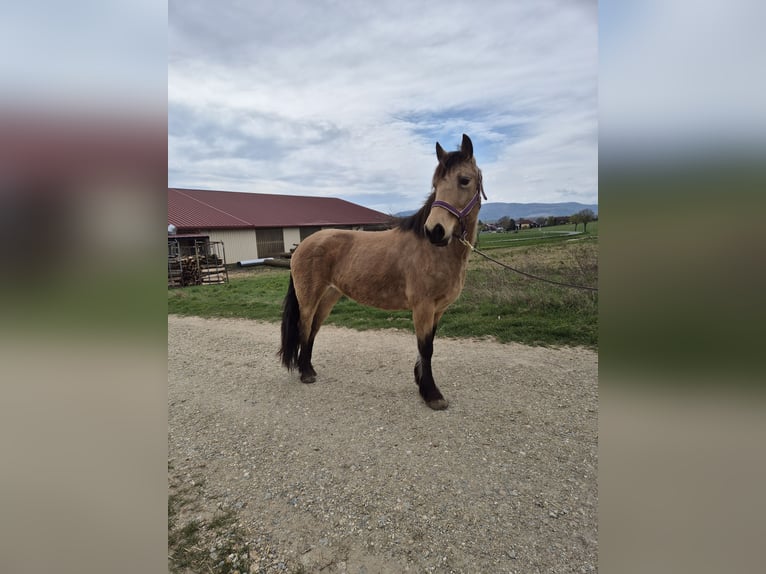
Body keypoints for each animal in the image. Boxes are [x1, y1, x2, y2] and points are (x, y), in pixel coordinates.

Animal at [278, 134, 485, 410]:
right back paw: (305, 374)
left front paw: (422, 384)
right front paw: (432, 394)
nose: (435, 231)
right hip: (309, 298)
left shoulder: (438, 310)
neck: (433, 250)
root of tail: (302, 245)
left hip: (329, 297)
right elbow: (426, 348)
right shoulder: (423, 307)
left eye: (464, 180)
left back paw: (309, 369)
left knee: (313, 330)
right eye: (436, 184)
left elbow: (428, 345)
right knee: (304, 328)